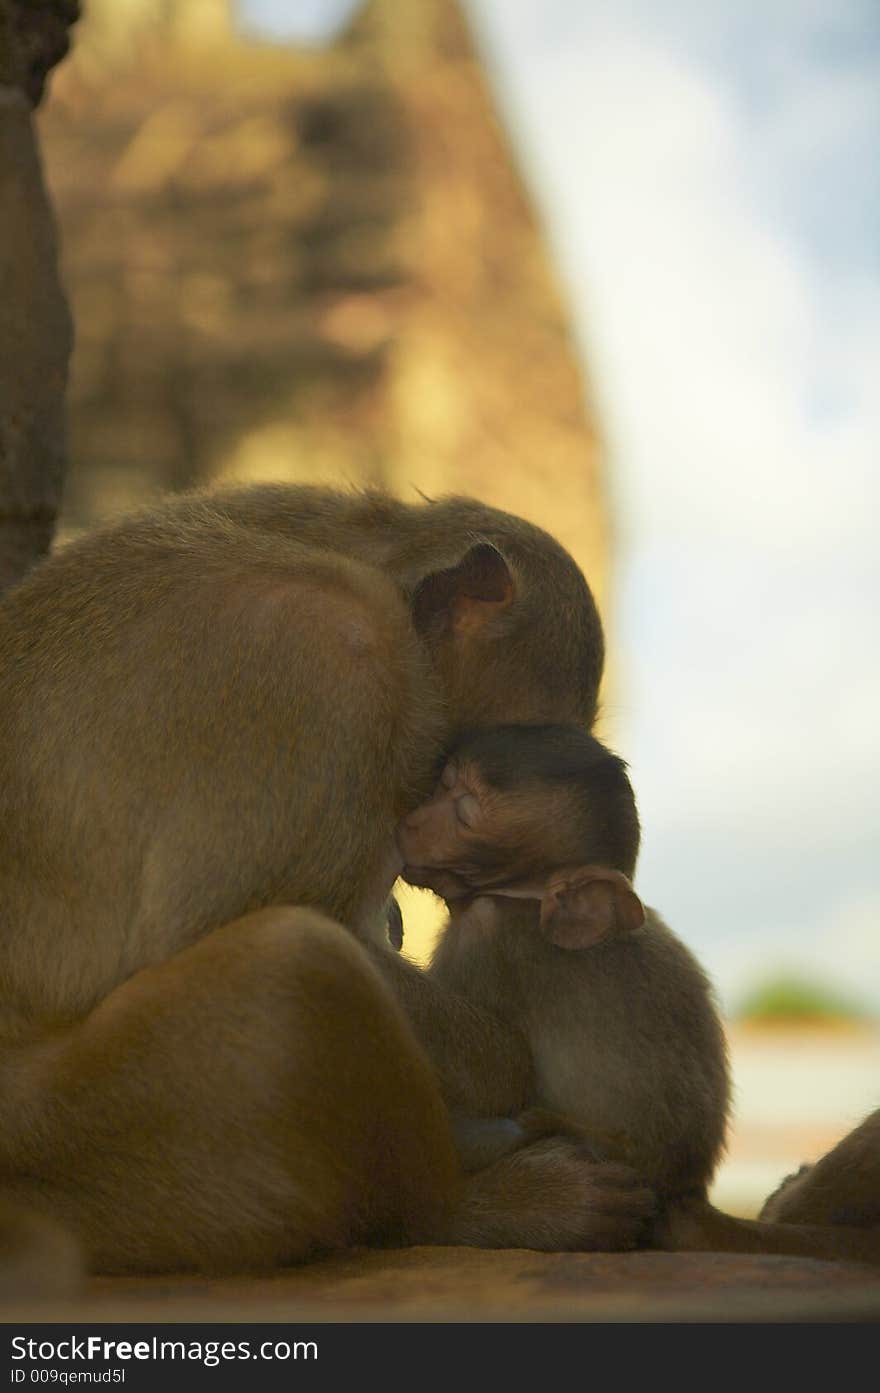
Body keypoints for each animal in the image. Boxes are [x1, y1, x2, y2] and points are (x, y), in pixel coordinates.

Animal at [0, 481, 646, 1275]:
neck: (363, 563)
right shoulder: (317, 663)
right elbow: (207, 930)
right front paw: (505, 1067)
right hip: (76, 1147)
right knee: (296, 964)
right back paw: (471, 1211)